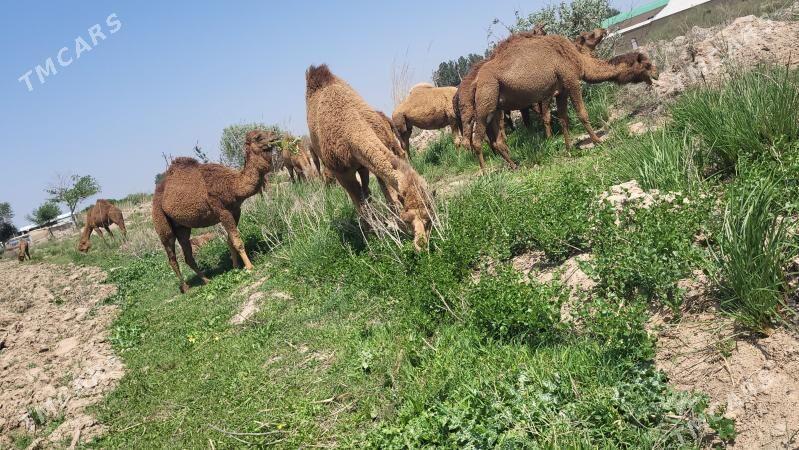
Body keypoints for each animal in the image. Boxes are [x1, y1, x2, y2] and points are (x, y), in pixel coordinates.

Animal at [152, 129, 277, 293]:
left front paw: (236, 266)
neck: (232, 186)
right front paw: (250, 267)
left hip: (182, 227)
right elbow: (237, 241)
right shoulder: (221, 210)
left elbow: (230, 240)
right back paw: (186, 288)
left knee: (187, 254)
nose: (275, 135)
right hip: (162, 223)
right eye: (258, 137)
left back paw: (206, 280)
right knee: (171, 256)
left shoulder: (235, 210)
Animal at [305, 64, 433, 250]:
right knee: (360, 198)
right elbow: (360, 204)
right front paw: (371, 238)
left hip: (364, 165)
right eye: (410, 219)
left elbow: (389, 196)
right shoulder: (342, 173)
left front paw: (393, 226)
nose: (421, 244)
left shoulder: (370, 159)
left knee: (367, 191)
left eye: (429, 216)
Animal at [470, 35, 658, 170]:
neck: (578, 60)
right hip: (485, 101)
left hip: (496, 108)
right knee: (477, 140)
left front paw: (568, 149)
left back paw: (515, 165)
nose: (656, 73)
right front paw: (598, 141)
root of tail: (476, 81)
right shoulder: (571, 81)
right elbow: (582, 113)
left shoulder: (561, 91)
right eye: (647, 65)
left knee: (497, 140)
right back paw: (485, 173)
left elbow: (563, 119)